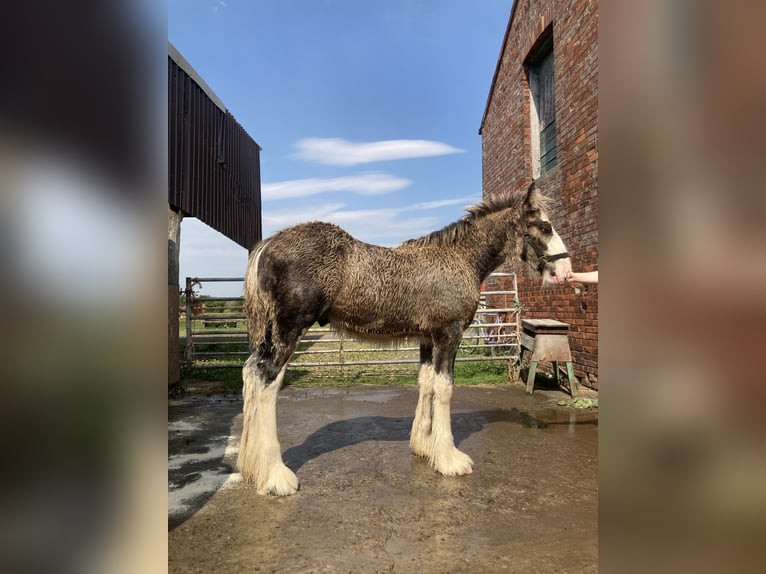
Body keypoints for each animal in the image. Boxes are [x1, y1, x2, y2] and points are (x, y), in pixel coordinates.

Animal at [238, 181, 572, 495]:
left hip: (269, 334)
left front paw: (424, 447)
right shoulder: (449, 334)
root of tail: (268, 244)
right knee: (268, 381)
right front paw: (449, 458)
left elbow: (426, 383)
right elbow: (444, 388)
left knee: (250, 374)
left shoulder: (427, 339)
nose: (565, 271)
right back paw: (275, 476)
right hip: (289, 330)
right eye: (545, 227)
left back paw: (250, 466)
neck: (460, 258)